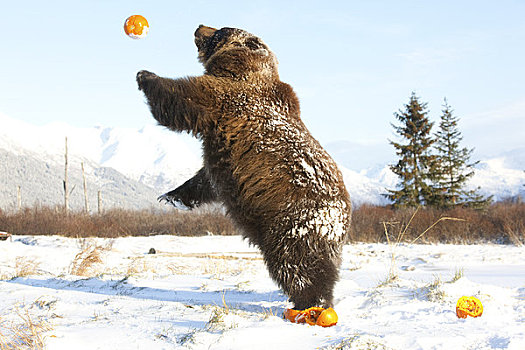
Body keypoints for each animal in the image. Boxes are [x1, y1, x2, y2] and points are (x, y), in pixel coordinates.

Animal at [137, 25, 352, 308]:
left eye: (219, 30)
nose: (199, 27)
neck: (244, 67)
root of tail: (343, 219)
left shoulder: (228, 99)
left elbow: (184, 96)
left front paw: (145, 75)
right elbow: (204, 179)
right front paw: (172, 196)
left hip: (292, 221)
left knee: (298, 265)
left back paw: (311, 304)